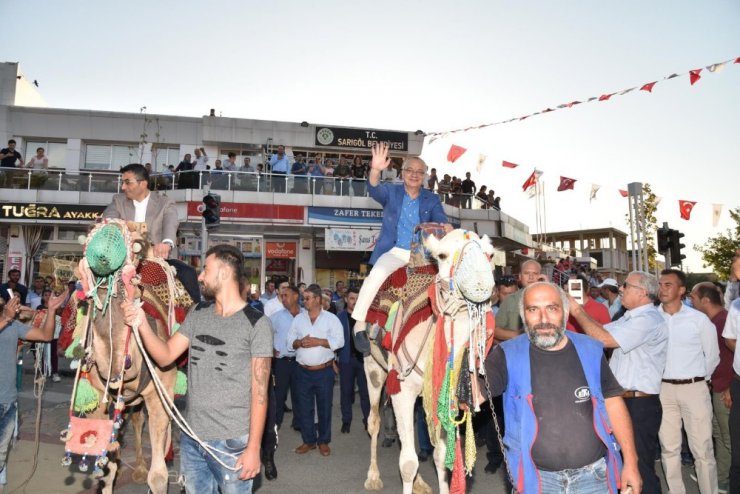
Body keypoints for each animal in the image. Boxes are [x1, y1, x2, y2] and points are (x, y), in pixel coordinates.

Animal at [62, 221, 194, 494]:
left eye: (137, 244)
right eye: (88, 237)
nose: (103, 257)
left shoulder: (159, 393)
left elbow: (158, 476)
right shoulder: (97, 399)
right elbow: (106, 467)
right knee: (135, 418)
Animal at [362, 229, 494, 494]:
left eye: (489, 254)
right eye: (442, 255)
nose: (479, 280)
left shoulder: (445, 394)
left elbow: (440, 457)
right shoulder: (401, 388)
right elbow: (407, 463)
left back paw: (420, 483)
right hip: (372, 366)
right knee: (374, 421)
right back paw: (373, 477)